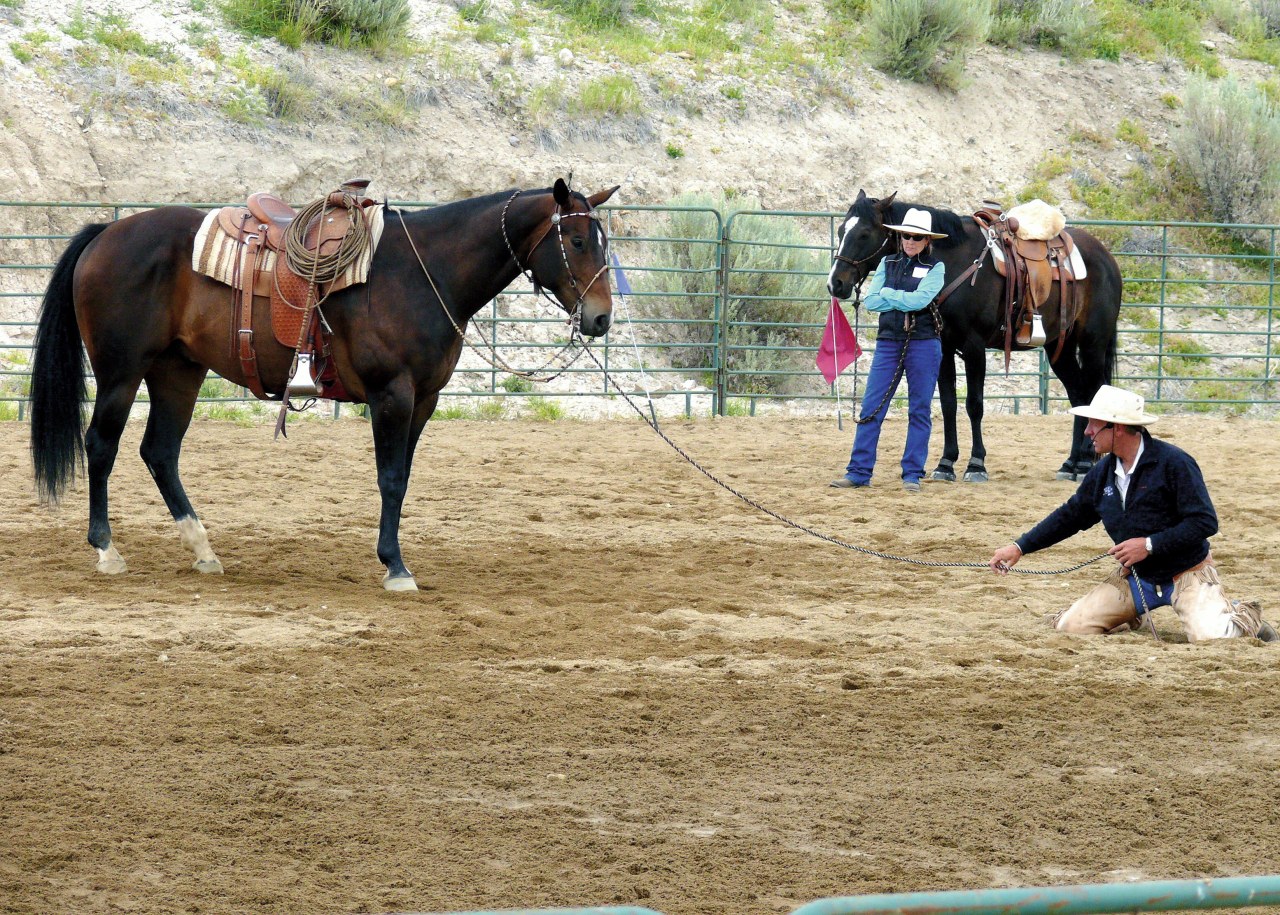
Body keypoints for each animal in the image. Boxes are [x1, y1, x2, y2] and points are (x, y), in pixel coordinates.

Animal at [31, 176, 619, 593]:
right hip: (121, 372)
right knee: (101, 445)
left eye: (600, 240)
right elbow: (390, 480)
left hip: (178, 371)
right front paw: (395, 567)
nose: (600, 318)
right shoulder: (392, 395)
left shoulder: (424, 402)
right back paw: (107, 550)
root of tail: (106, 234)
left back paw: (202, 550)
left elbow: (404, 478)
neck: (424, 271)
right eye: (575, 239)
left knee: (159, 451)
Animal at [829, 190, 1121, 483]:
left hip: (1093, 345)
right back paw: (1070, 463)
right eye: (841, 230)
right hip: (1059, 347)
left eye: (864, 233)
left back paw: (1085, 463)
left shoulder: (974, 347)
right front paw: (946, 463)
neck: (954, 262)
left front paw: (976, 464)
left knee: (1095, 391)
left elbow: (974, 404)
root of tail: (1107, 258)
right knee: (1078, 395)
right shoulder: (944, 348)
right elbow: (948, 404)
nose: (835, 283)